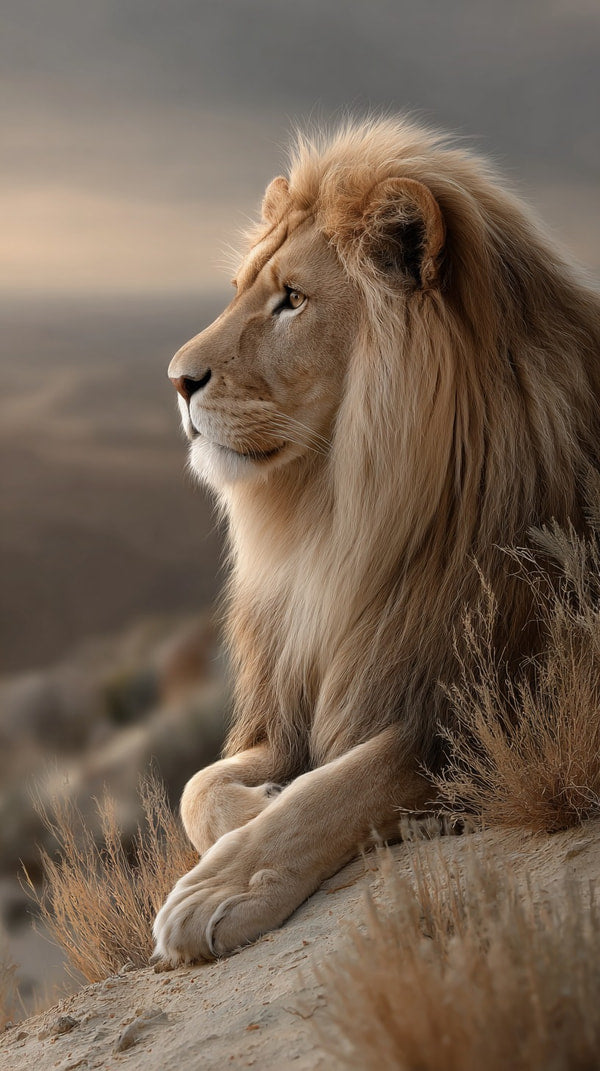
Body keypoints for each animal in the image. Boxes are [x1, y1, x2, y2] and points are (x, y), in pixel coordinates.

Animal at [153, 117, 600, 966]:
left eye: (292, 299)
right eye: (239, 290)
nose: (177, 380)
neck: (337, 523)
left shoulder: (484, 702)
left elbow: (341, 786)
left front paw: (219, 887)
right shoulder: (303, 690)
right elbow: (200, 786)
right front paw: (255, 801)